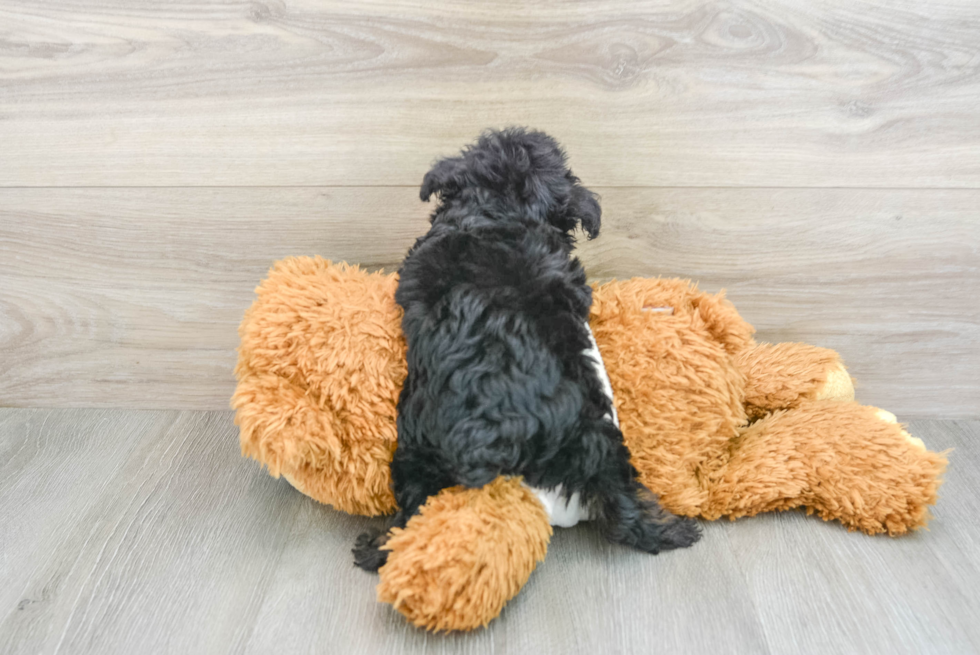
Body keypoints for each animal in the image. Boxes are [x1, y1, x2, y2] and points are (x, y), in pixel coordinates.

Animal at [352, 127, 696, 568]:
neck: (500, 210)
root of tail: (501, 431)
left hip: (416, 446)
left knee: (413, 507)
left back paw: (377, 546)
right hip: (598, 433)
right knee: (623, 502)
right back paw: (674, 529)